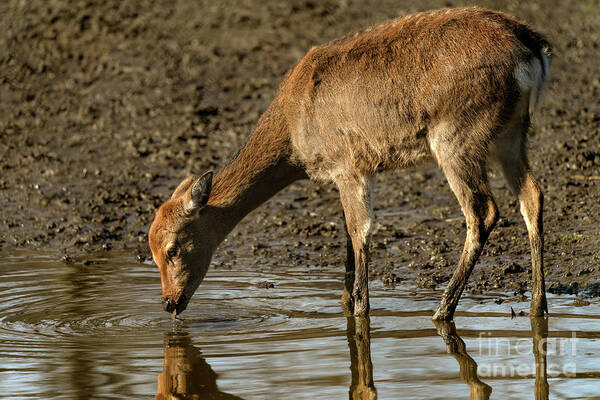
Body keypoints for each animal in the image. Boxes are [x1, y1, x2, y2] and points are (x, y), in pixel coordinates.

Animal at [148, 7, 552, 322]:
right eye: (150, 249)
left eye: (172, 248)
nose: (169, 303)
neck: (292, 135)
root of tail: (532, 49)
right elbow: (346, 232)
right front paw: (344, 302)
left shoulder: (348, 165)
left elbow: (360, 231)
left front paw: (360, 309)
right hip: (511, 133)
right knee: (532, 194)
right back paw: (538, 306)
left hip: (456, 137)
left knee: (482, 211)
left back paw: (442, 310)